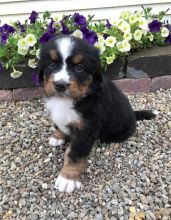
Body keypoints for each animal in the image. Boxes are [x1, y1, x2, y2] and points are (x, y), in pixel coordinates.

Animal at [38, 35, 158, 192]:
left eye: (79, 68)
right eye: (51, 64)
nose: (60, 85)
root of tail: (133, 114)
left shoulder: (86, 130)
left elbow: (74, 155)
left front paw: (67, 178)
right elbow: (59, 125)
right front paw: (57, 137)